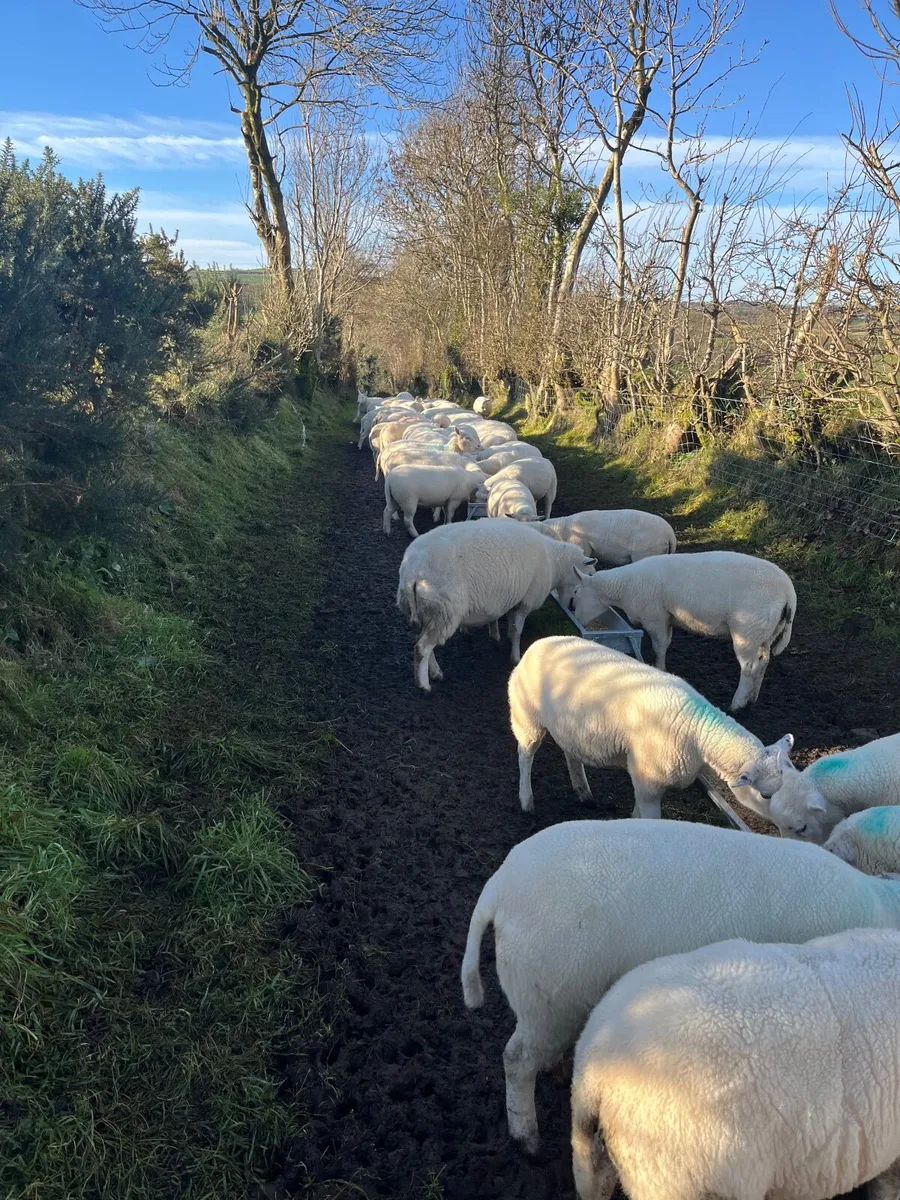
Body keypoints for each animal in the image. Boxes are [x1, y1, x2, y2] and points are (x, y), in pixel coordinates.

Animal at [396, 520, 596, 690]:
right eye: (590, 575)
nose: (572, 609)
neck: (554, 562)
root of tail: (414, 573)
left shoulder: (512, 596)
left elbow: (506, 620)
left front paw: (499, 635)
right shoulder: (526, 600)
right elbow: (518, 629)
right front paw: (515, 656)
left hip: (425, 613)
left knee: (422, 644)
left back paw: (435, 672)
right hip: (443, 612)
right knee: (422, 648)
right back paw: (424, 684)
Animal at [460, 816, 900, 1153]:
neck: (881, 907)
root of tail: (498, 888)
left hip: (551, 1000)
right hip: (549, 995)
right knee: (516, 1060)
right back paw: (526, 1136)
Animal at [509, 636, 791, 818]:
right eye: (766, 795)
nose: (795, 828)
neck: (699, 731)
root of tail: (538, 644)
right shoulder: (648, 781)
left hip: (570, 725)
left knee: (570, 753)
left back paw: (583, 792)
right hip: (526, 716)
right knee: (525, 755)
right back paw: (525, 800)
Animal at [570, 550, 796, 711]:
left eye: (576, 592)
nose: (574, 615)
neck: (622, 588)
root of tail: (788, 594)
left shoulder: (655, 618)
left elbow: (660, 646)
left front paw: (659, 668)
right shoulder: (667, 618)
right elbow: (666, 642)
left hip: (747, 630)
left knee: (749, 667)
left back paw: (737, 704)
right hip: (765, 633)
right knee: (763, 662)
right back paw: (753, 698)